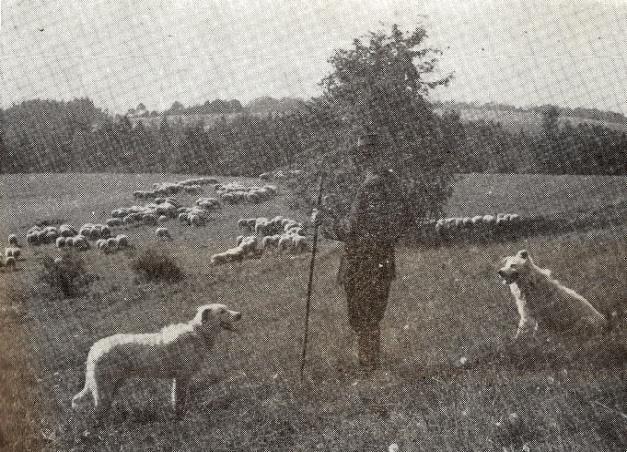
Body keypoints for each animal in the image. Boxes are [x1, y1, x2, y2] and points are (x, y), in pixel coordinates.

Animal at [72, 304, 242, 416]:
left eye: (226, 308)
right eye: (222, 311)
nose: (240, 314)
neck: (198, 333)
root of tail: (94, 348)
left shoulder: (179, 377)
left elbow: (177, 398)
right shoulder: (182, 376)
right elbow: (179, 398)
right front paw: (181, 414)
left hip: (113, 385)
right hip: (104, 387)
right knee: (98, 411)